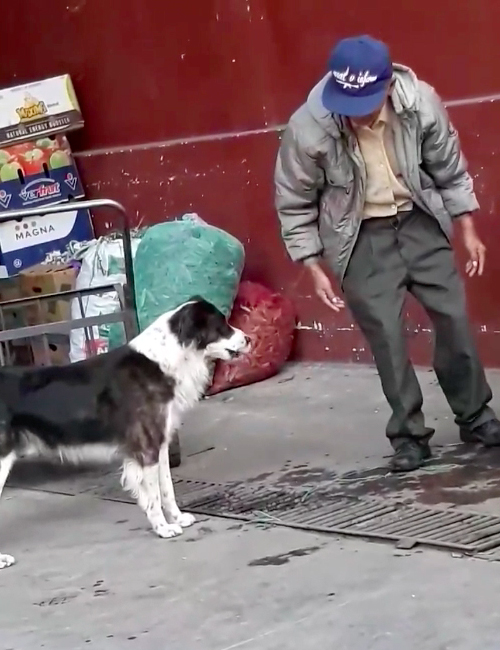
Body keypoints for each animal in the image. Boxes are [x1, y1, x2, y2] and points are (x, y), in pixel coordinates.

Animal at [0, 296, 250, 564]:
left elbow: (166, 489)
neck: (165, 361)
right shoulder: (147, 449)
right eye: (221, 325)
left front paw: (177, 518)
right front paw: (163, 528)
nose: (249, 339)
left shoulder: (160, 445)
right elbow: (154, 496)